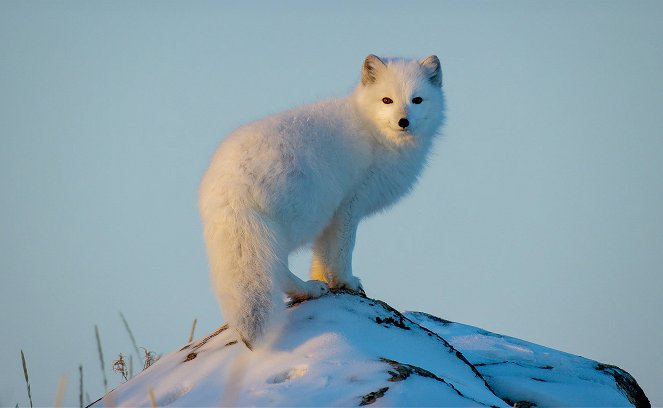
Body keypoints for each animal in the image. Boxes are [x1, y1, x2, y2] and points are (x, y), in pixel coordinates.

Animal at [198, 54, 446, 348]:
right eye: (387, 100)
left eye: (417, 100)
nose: (403, 121)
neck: (374, 131)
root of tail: (229, 184)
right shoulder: (349, 205)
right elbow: (342, 250)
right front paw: (346, 282)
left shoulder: (333, 215)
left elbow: (322, 254)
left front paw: (325, 279)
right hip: (300, 217)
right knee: (276, 267)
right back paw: (307, 290)